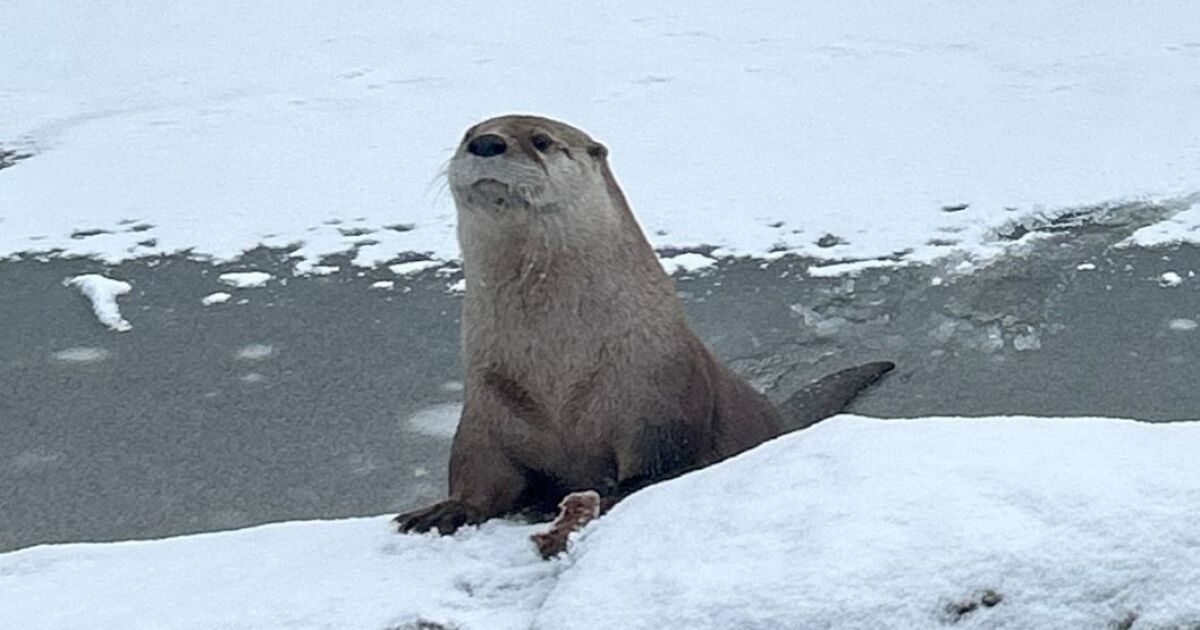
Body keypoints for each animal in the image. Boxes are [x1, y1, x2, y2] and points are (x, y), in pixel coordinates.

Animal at [395, 115, 893, 535]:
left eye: (541, 140)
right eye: (468, 132)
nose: (486, 143)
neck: (558, 369)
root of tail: (780, 418)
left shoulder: (659, 400)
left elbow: (659, 470)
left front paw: (609, 497)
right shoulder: (489, 402)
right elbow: (478, 472)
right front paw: (444, 510)